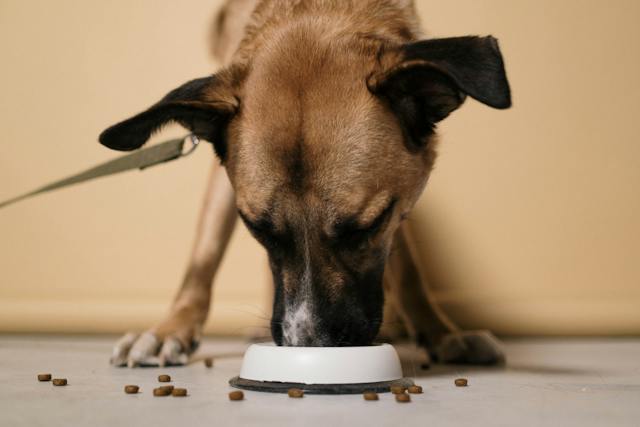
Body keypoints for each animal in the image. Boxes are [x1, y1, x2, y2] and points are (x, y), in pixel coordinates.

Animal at [101, 0, 510, 368]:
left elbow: (408, 267)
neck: (316, 9)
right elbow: (204, 256)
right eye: (257, 228)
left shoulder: (399, 201)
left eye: (367, 227)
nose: (308, 345)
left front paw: (440, 332)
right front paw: (171, 329)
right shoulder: (223, 175)